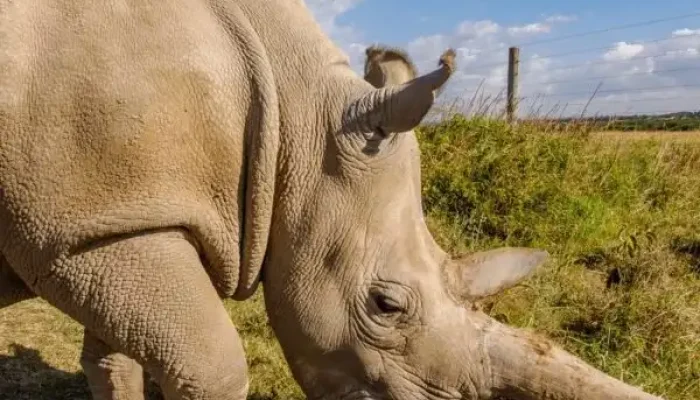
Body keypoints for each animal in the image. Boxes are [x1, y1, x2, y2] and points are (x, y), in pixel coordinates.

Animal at [0, 0, 664, 399]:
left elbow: (115, 360)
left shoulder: (124, 214)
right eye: (386, 305)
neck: (298, 120)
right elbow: (212, 363)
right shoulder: (88, 231)